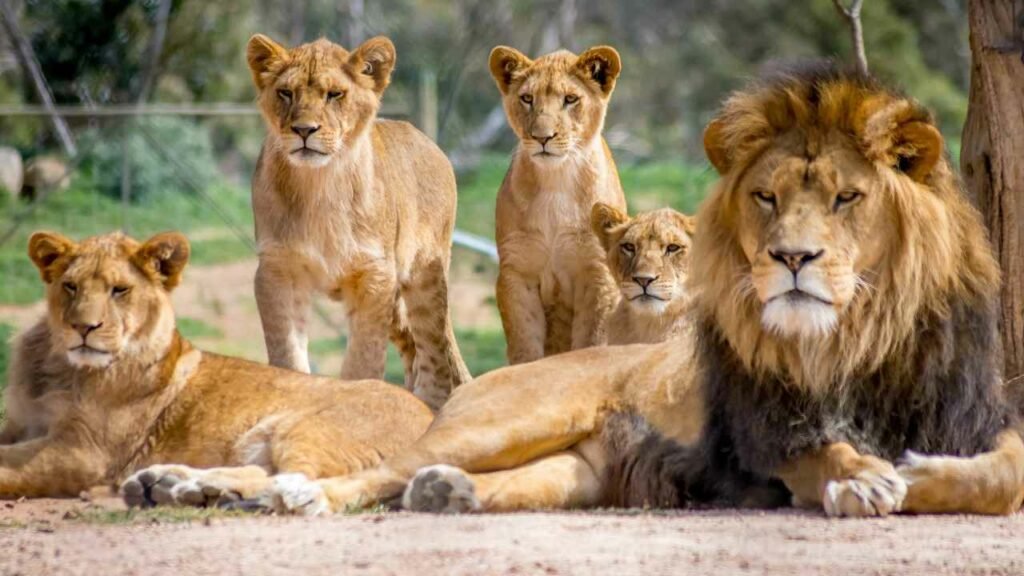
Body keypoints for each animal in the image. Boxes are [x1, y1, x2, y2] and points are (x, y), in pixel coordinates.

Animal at [0, 230, 432, 504]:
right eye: (70, 286)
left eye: (119, 290)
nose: (83, 327)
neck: (61, 367)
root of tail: (431, 415)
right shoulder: (21, 424)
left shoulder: (84, 451)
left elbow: (7, 465)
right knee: (266, 472)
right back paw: (172, 484)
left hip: (306, 428)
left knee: (295, 478)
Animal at [247, 34, 469, 410]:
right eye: (286, 93)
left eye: (334, 94)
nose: (304, 130)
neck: (319, 185)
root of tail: (429, 142)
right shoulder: (277, 271)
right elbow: (287, 353)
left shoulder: (375, 275)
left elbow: (363, 360)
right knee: (413, 347)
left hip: (424, 276)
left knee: (435, 353)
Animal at [490, 45, 627, 364]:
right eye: (527, 98)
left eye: (570, 99)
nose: (542, 137)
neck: (556, 180)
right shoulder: (517, 272)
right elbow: (525, 344)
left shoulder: (597, 273)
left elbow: (592, 341)